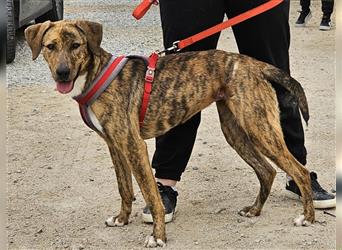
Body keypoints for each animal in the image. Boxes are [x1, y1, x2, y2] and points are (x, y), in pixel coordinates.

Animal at [25, 20, 314, 248]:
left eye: (76, 45)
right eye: (50, 46)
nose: (62, 73)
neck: (95, 75)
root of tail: (255, 65)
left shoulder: (134, 145)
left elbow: (151, 196)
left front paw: (158, 236)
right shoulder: (115, 145)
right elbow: (124, 187)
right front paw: (122, 218)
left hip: (259, 127)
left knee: (299, 171)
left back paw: (308, 217)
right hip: (235, 131)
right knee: (267, 171)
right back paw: (255, 210)